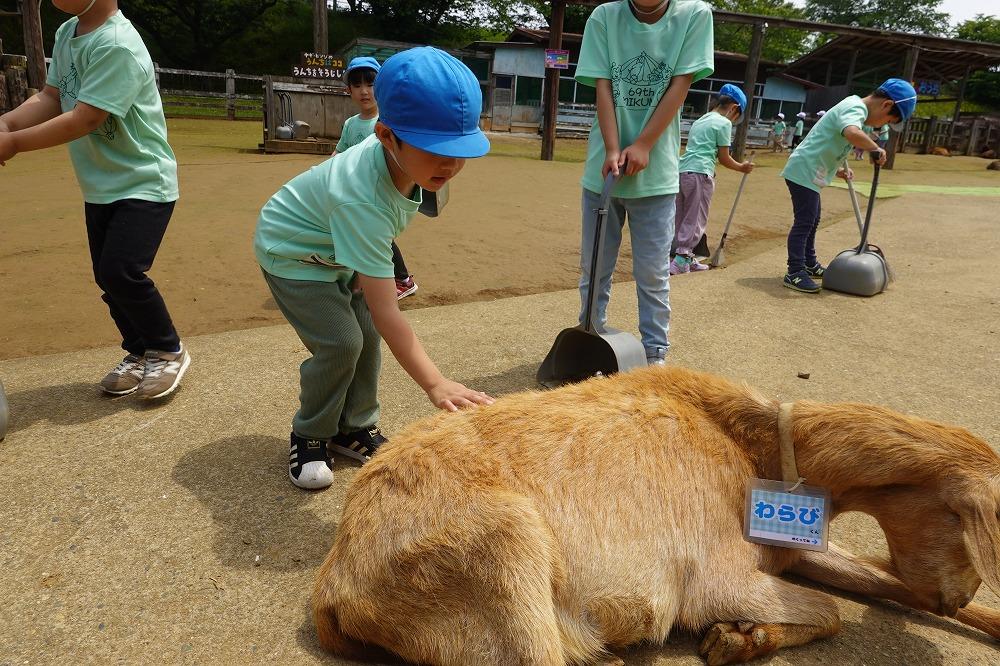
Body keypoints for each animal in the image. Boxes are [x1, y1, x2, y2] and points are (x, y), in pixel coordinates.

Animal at [314, 366, 1000, 660]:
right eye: (966, 526)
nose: (956, 597)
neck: (752, 448)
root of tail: (335, 586)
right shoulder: (717, 575)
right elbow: (830, 613)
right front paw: (735, 639)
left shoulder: (790, 546)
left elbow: (870, 582)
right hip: (502, 550)